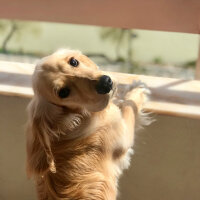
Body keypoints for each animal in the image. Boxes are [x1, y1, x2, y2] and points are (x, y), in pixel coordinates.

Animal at [25, 48, 149, 200]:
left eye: (73, 61)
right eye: (63, 92)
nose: (105, 83)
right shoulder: (123, 135)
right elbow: (129, 107)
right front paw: (137, 88)